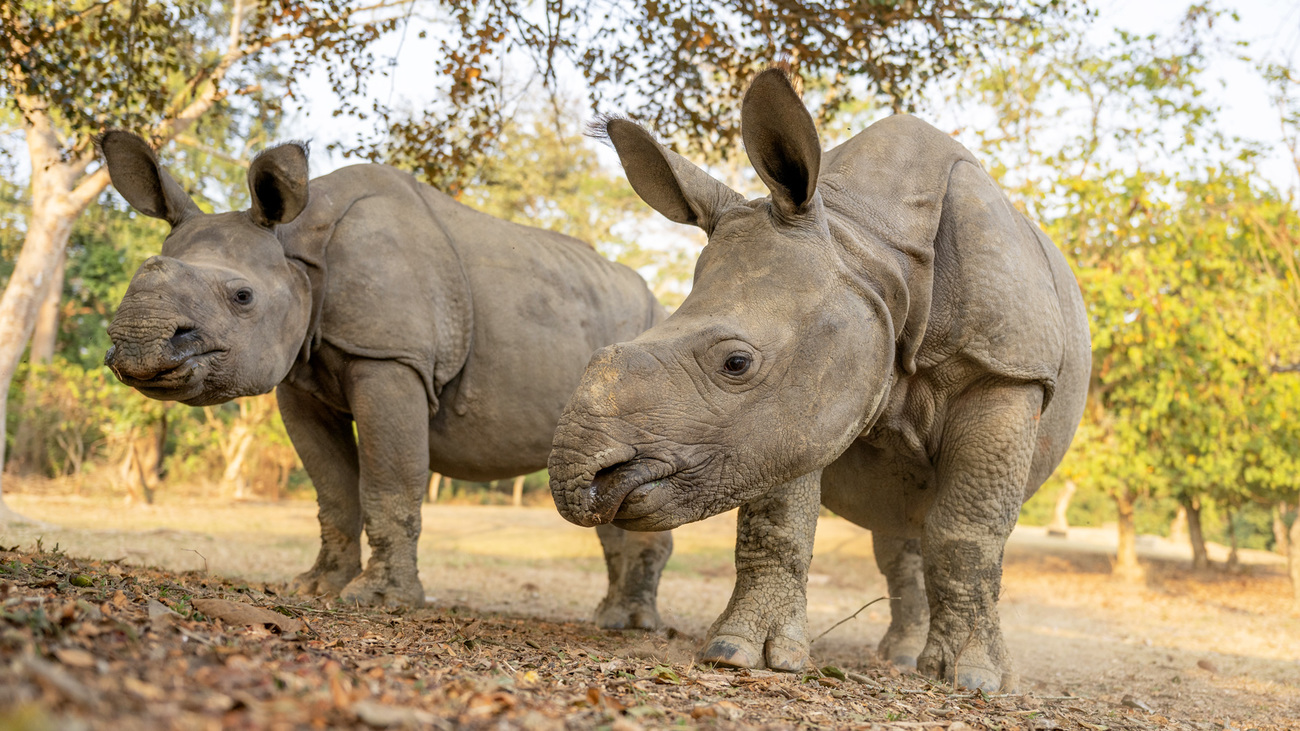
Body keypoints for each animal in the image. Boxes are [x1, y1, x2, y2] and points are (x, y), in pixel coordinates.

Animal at [94, 129, 670, 619]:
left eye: (242, 297)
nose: (139, 344)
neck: (300, 247)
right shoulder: (298, 377)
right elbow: (333, 488)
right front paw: (315, 587)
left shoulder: (390, 358)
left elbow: (389, 482)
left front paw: (380, 600)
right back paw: (612, 619)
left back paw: (630, 625)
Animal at [543, 69, 1092, 686]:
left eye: (736, 363)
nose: (589, 475)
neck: (870, 247)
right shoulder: (802, 395)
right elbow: (778, 521)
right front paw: (740, 654)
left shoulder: (1005, 369)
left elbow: (967, 532)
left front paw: (974, 680)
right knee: (902, 527)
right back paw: (901, 658)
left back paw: (919, 665)